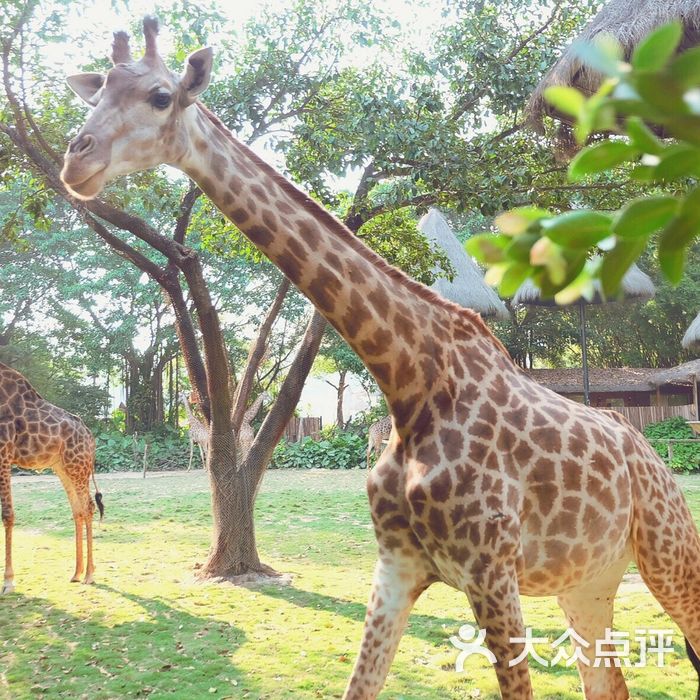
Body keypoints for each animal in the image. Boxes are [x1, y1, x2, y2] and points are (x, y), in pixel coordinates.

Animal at [0, 360, 104, 592]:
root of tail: (91, 437)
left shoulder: (3, 452)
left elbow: (7, 514)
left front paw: (8, 581)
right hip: (62, 467)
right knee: (77, 510)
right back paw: (77, 572)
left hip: (77, 465)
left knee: (88, 506)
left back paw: (90, 575)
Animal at [61, 19, 700, 696]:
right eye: (96, 92)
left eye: (160, 96)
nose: (77, 160)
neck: (409, 381)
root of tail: (651, 456)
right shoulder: (396, 563)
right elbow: (360, 683)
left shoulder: (490, 569)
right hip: (588, 579)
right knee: (607, 680)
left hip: (666, 548)